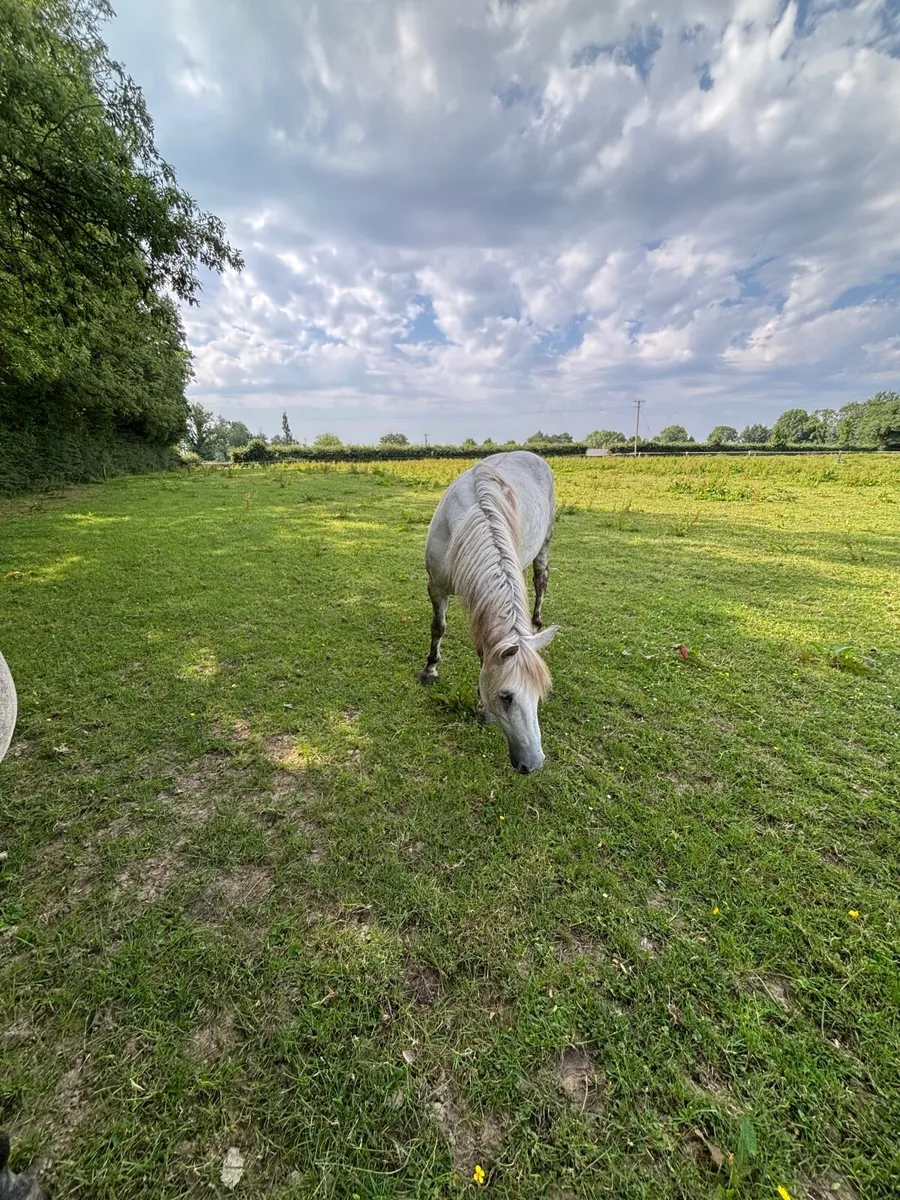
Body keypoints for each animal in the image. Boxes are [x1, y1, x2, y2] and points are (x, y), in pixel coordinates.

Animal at [419, 451, 559, 774]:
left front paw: (482, 709)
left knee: (541, 580)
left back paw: (535, 624)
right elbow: (438, 627)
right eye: (506, 697)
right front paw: (430, 669)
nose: (533, 764)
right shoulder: (437, 587)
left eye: (539, 697)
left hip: (544, 544)